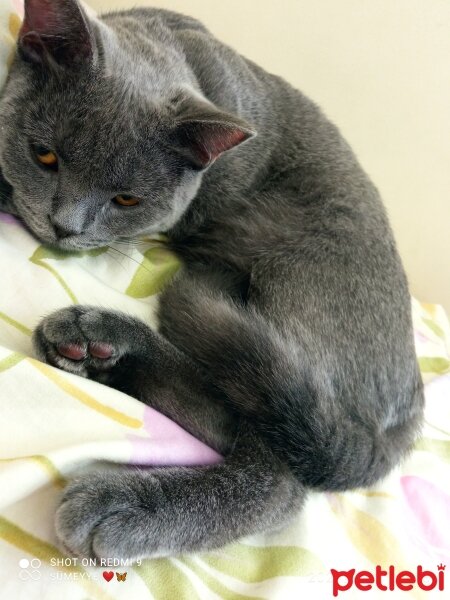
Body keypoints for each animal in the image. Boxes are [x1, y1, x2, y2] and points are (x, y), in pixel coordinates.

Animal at [0, 1, 426, 564]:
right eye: (44, 155)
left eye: (127, 200)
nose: (65, 226)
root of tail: (405, 417)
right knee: (230, 414)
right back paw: (100, 350)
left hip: (299, 279)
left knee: (277, 477)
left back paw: (125, 505)